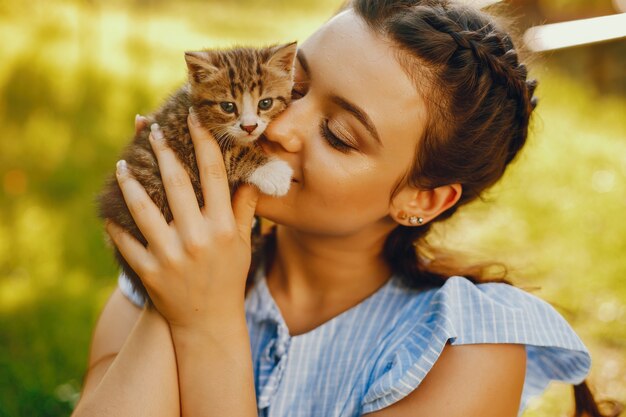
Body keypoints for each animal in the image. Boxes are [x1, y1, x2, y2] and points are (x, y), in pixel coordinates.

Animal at [98, 42, 298, 304]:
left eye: (265, 103)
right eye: (227, 106)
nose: (249, 126)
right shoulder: (185, 141)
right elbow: (235, 154)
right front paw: (274, 172)